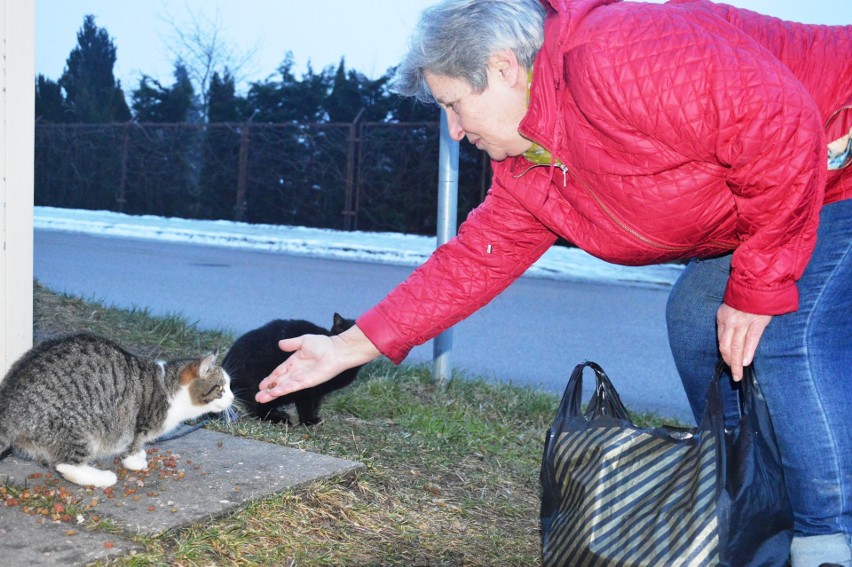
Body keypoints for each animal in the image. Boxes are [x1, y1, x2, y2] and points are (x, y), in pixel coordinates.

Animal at [0, 332, 233, 488]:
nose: (233, 397)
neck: (170, 389)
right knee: (66, 464)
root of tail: (9, 403)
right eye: (221, 388)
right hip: (78, 428)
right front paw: (134, 460)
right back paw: (102, 478)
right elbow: (134, 441)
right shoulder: (140, 422)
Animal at [223, 316, 362, 426]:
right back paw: (279, 419)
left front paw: (314, 419)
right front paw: (308, 422)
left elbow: (315, 405)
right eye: (342, 331)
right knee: (258, 411)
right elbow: (306, 407)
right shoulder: (306, 392)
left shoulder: (317, 392)